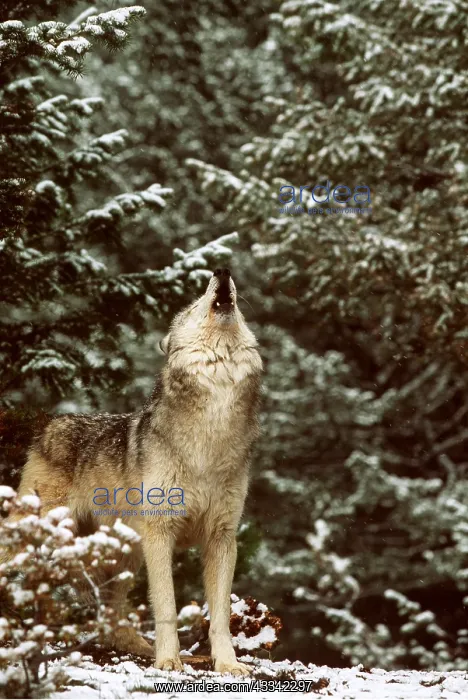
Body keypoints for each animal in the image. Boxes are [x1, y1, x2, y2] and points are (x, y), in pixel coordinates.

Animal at [1, 269, 262, 676]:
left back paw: (134, 645)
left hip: (121, 553)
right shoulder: (159, 533)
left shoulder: (222, 536)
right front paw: (169, 660)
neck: (211, 433)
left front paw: (228, 664)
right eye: (192, 305)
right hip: (47, 532)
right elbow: (167, 606)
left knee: (110, 614)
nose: (221, 271)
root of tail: (49, 425)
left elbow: (219, 616)